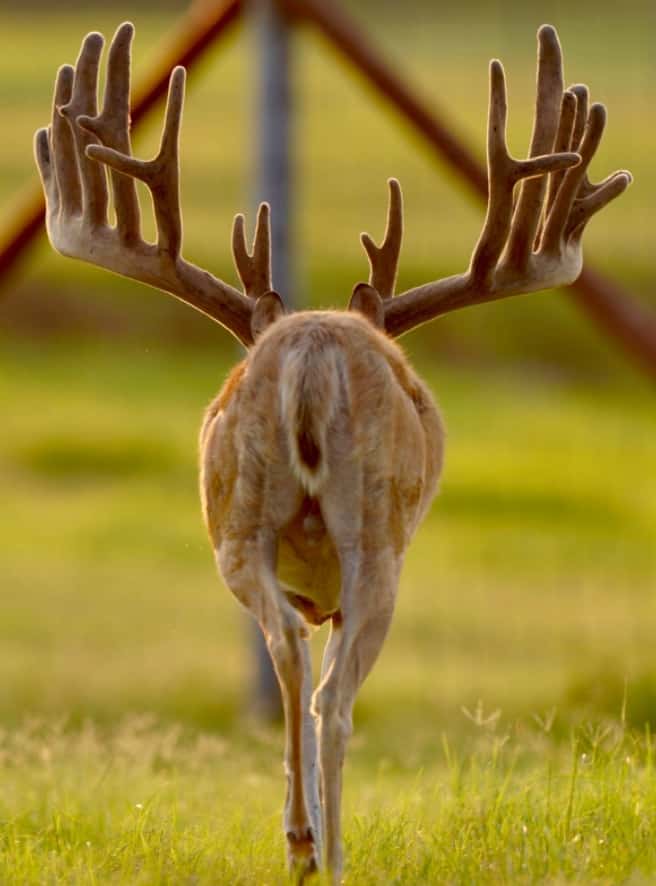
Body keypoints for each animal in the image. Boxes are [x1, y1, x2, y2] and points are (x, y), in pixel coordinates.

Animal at [34, 20, 630, 882]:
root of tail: (312, 348)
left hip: (240, 521)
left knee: (287, 649)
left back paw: (301, 842)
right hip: (375, 537)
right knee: (335, 699)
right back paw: (333, 852)